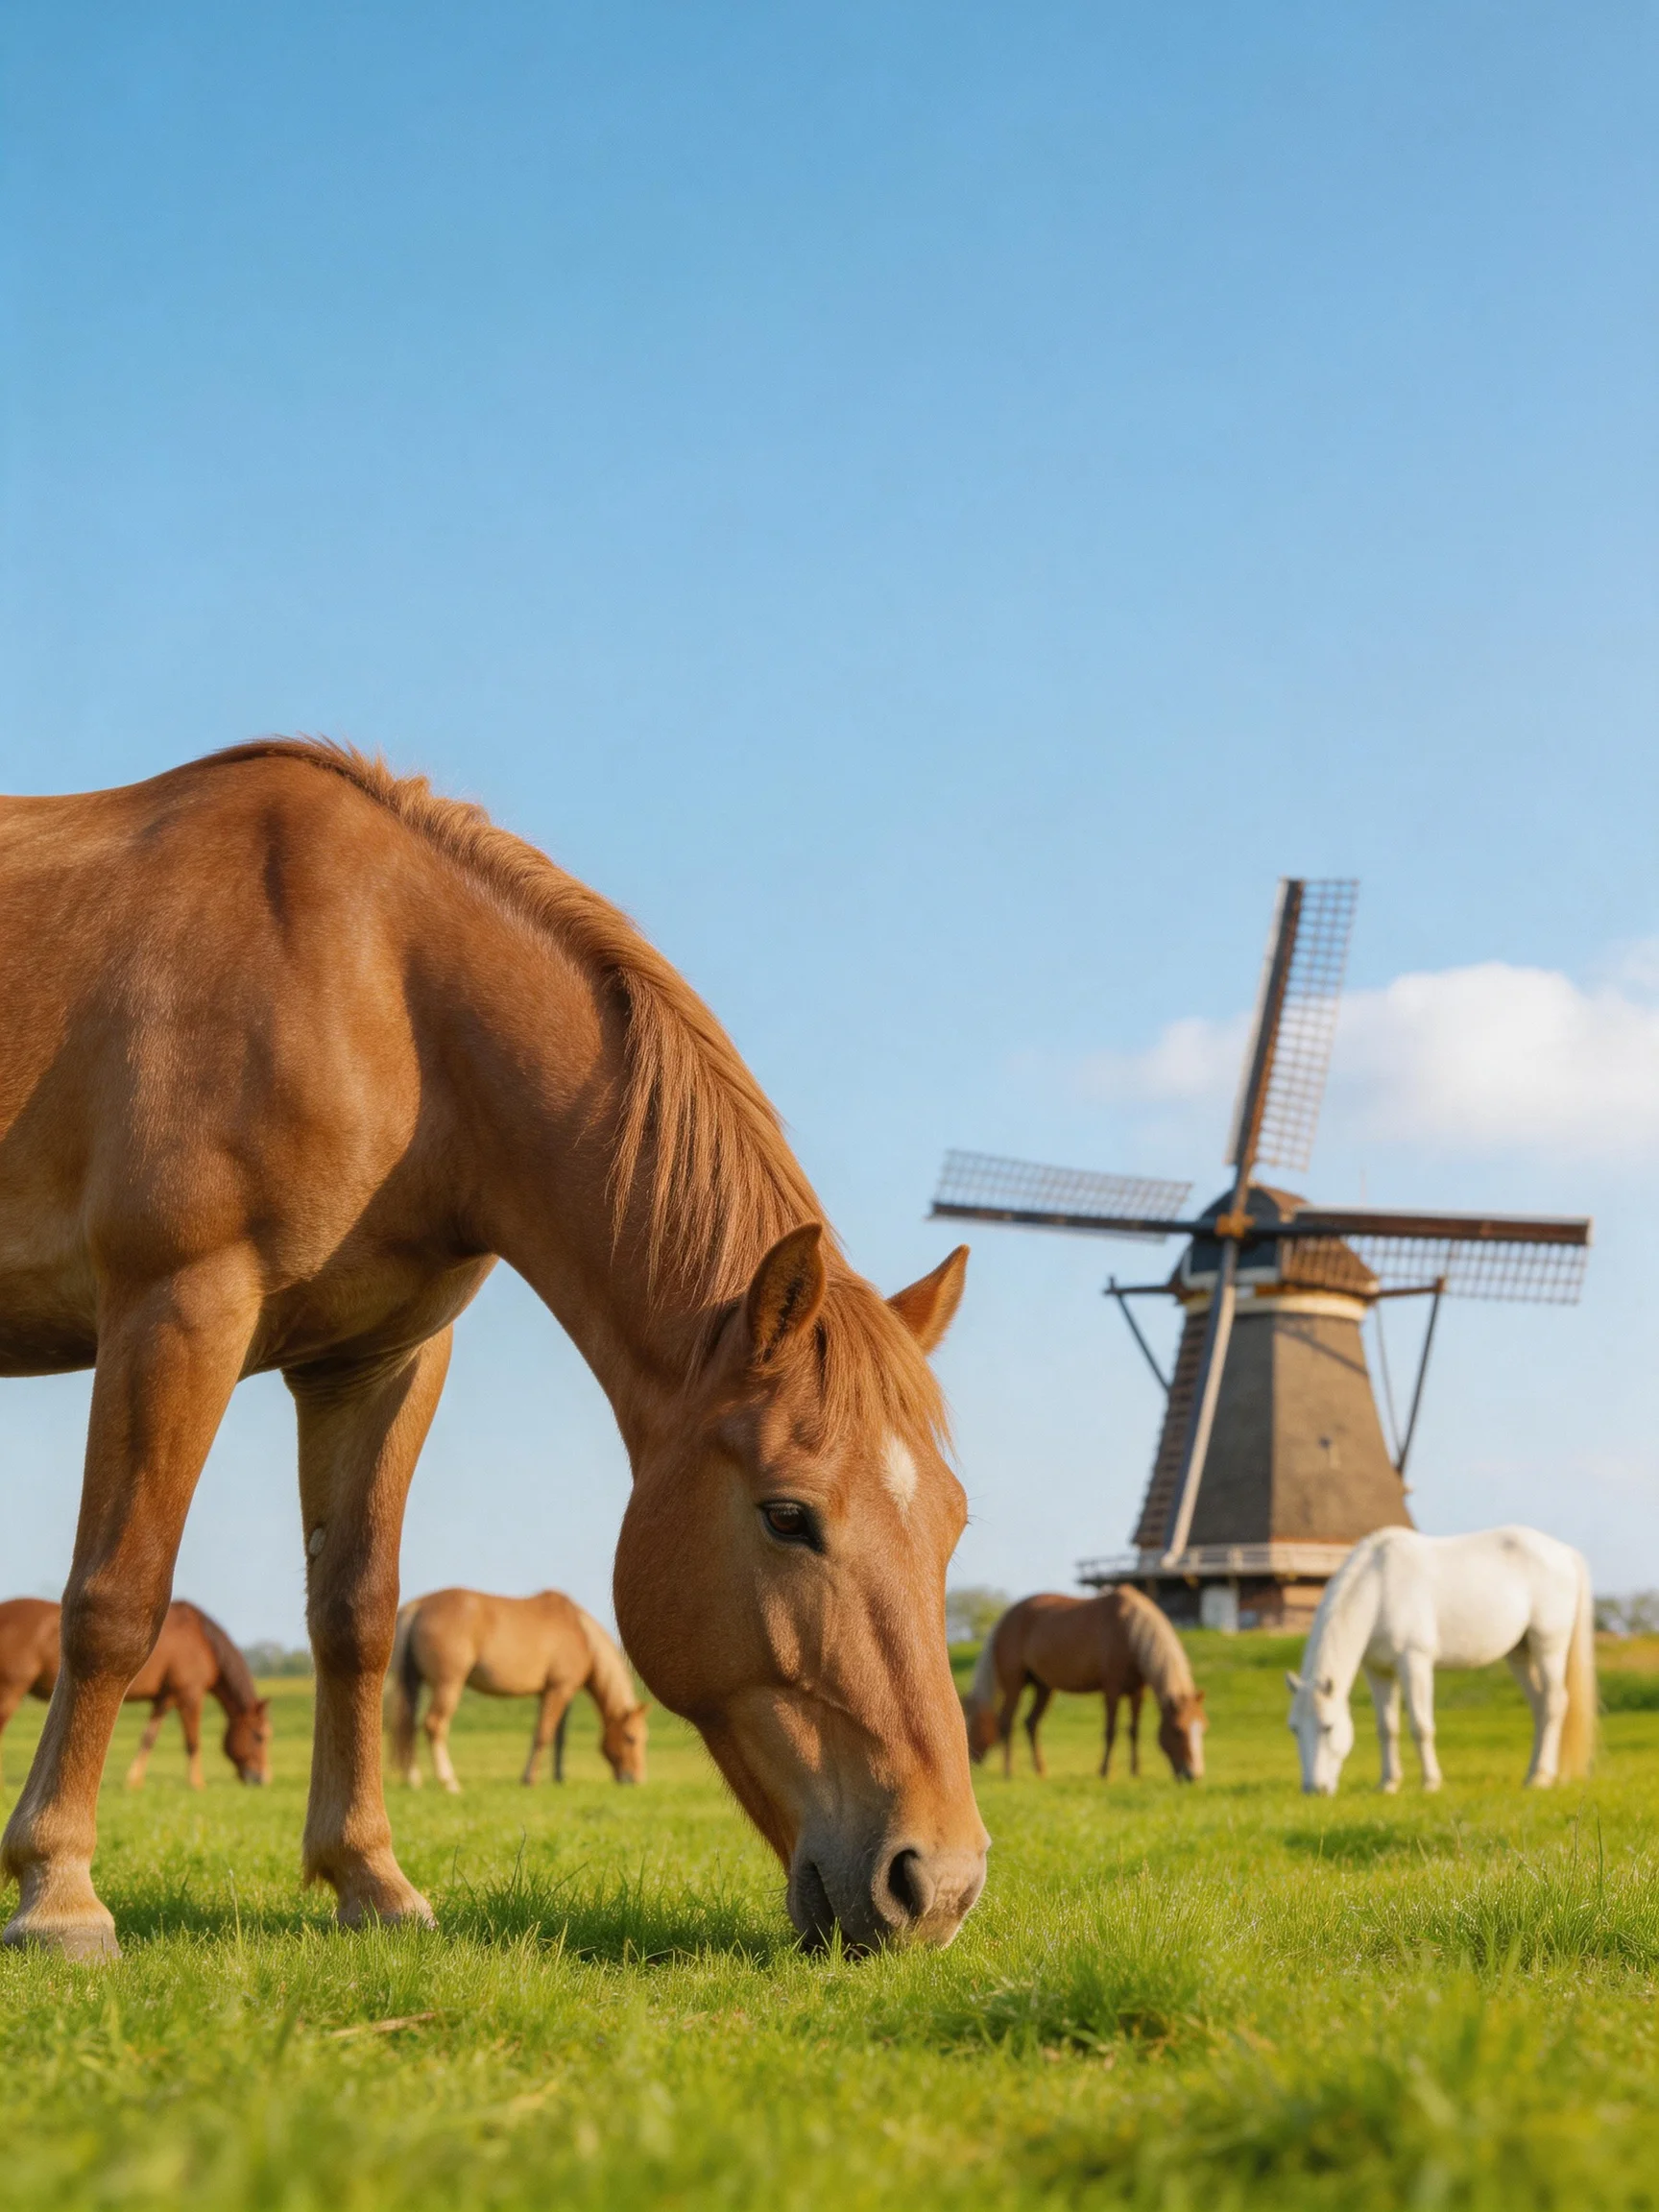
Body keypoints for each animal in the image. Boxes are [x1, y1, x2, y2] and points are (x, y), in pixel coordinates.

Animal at [0, 1597, 271, 1789]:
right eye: (259, 1736)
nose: (262, 1778)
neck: (201, 1641)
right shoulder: (189, 1694)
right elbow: (192, 1741)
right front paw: (197, 1783)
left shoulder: (165, 1698)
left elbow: (148, 1737)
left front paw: (134, 1781)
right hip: (10, 1691)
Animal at [390, 1587, 647, 1790]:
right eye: (630, 1737)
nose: (635, 1779)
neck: (582, 1634)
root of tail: (418, 1606)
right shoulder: (559, 1689)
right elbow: (543, 1734)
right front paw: (529, 1779)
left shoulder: (556, 1693)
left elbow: (558, 1738)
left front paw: (558, 1778)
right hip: (448, 1684)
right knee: (434, 1725)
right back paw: (449, 1782)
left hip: (413, 1682)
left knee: (408, 1726)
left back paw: (413, 1779)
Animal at [961, 1587, 1207, 1782]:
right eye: (1178, 1730)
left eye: (1203, 1729)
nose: (1193, 1775)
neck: (1129, 1631)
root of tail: (1004, 1620)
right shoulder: (1112, 1688)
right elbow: (1111, 1731)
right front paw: (1104, 1772)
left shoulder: (1137, 1690)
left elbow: (1133, 1730)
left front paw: (1135, 1772)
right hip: (1015, 1684)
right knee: (1006, 1723)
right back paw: (1009, 1771)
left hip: (1043, 1687)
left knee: (1030, 1723)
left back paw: (1040, 1771)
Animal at [1286, 1525, 1597, 1795]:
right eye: (1294, 1729)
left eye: (1328, 1727)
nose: (1314, 1789)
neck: (1381, 1585)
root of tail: (1565, 1553)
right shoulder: (1378, 1671)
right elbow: (1387, 1728)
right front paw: (1388, 1784)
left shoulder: (1415, 1662)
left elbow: (1420, 1726)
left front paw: (1430, 1782)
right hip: (1520, 1653)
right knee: (1540, 1706)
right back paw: (1534, 1774)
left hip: (1548, 1646)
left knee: (1555, 1702)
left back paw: (1541, 1778)